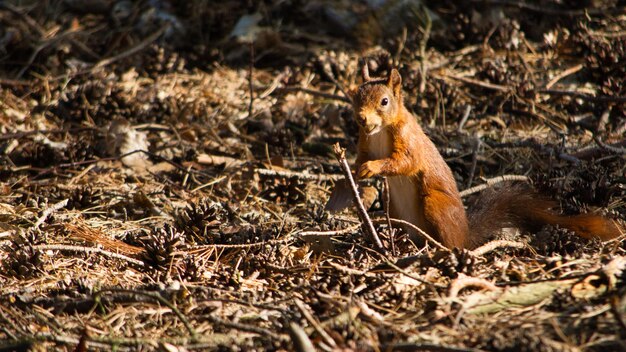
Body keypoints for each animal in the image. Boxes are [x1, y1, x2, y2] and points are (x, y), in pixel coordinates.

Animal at [326, 64, 620, 249]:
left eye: (385, 101)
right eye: (355, 97)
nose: (362, 119)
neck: (379, 132)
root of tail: (466, 234)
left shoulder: (409, 141)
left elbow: (404, 162)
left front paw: (372, 168)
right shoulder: (365, 142)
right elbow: (360, 157)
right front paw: (353, 171)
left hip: (435, 205)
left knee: (451, 242)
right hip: (398, 212)